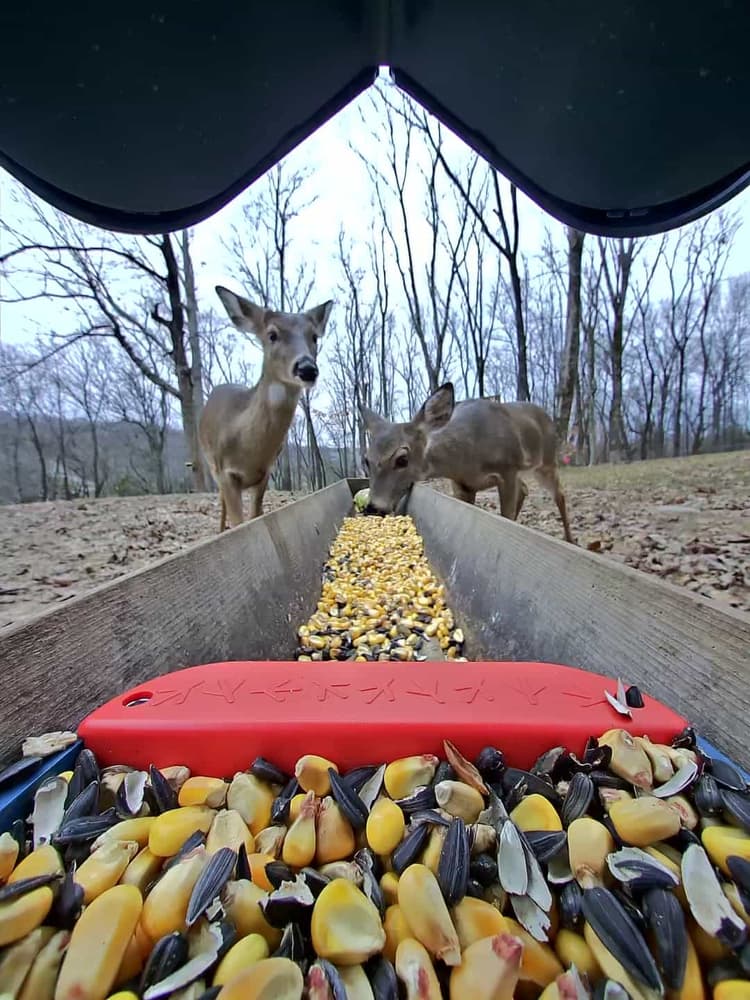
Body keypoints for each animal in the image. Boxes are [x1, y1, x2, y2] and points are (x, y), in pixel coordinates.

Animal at [199, 285, 333, 531]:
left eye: (314, 336)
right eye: (272, 335)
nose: (307, 368)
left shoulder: (265, 473)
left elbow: (256, 515)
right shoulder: (225, 473)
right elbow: (239, 521)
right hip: (212, 465)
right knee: (221, 505)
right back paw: (221, 530)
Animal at [362, 382, 575, 544]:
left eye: (402, 459)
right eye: (366, 460)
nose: (373, 508)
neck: (468, 459)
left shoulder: (508, 469)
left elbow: (506, 514)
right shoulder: (461, 484)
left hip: (547, 461)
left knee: (560, 494)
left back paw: (570, 540)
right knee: (525, 488)